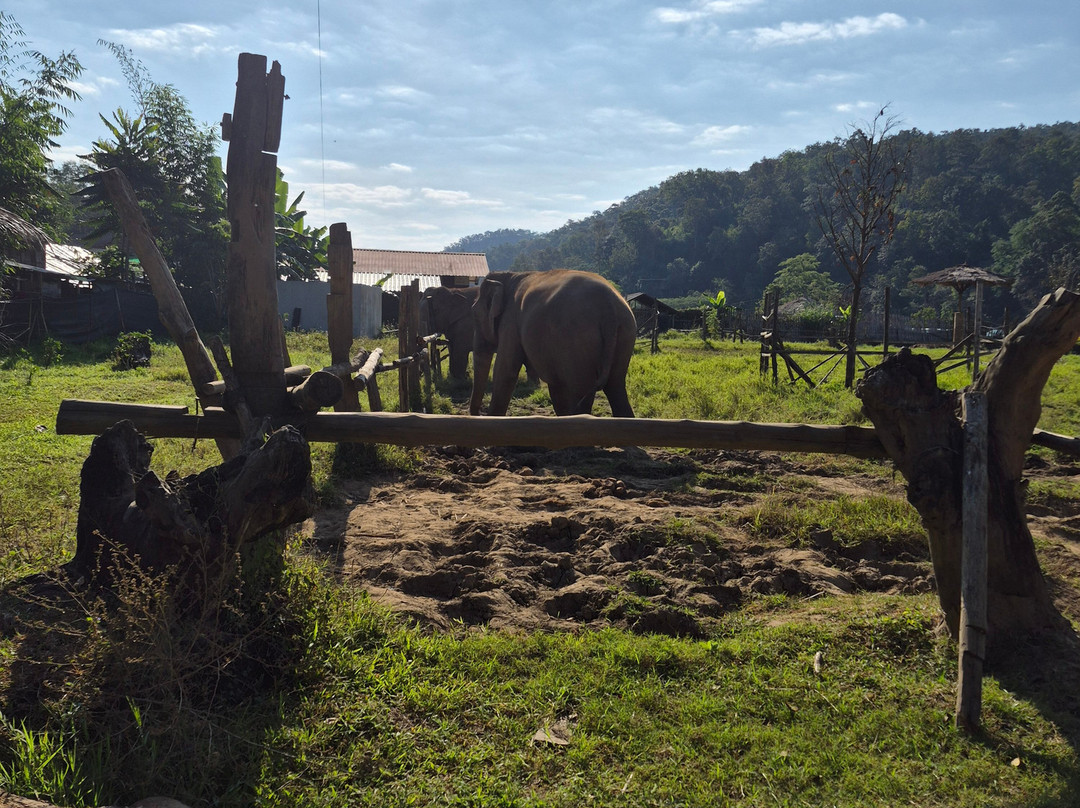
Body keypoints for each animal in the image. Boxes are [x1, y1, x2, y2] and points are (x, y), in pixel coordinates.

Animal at [469, 270, 636, 417]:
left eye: (475, 314)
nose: (479, 413)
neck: (509, 275)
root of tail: (608, 308)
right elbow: (556, 387)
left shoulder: (510, 321)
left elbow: (505, 371)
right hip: (625, 332)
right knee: (616, 389)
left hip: (577, 338)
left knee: (582, 394)